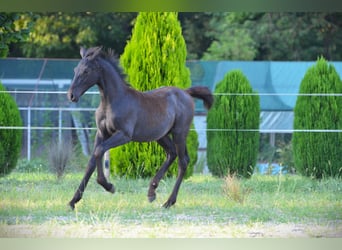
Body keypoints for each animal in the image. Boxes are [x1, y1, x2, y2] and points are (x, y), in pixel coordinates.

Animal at [67, 46, 214, 209]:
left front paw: (109, 186)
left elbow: (99, 151)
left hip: (179, 133)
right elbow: (91, 162)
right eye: (75, 70)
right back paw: (151, 192)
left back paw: (168, 202)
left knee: (183, 161)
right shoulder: (102, 133)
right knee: (172, 153)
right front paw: (73, 201)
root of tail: (186, 93)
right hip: (161, 136)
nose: (71, 95)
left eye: (86, 71)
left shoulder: (124, 135)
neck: (112, 101)